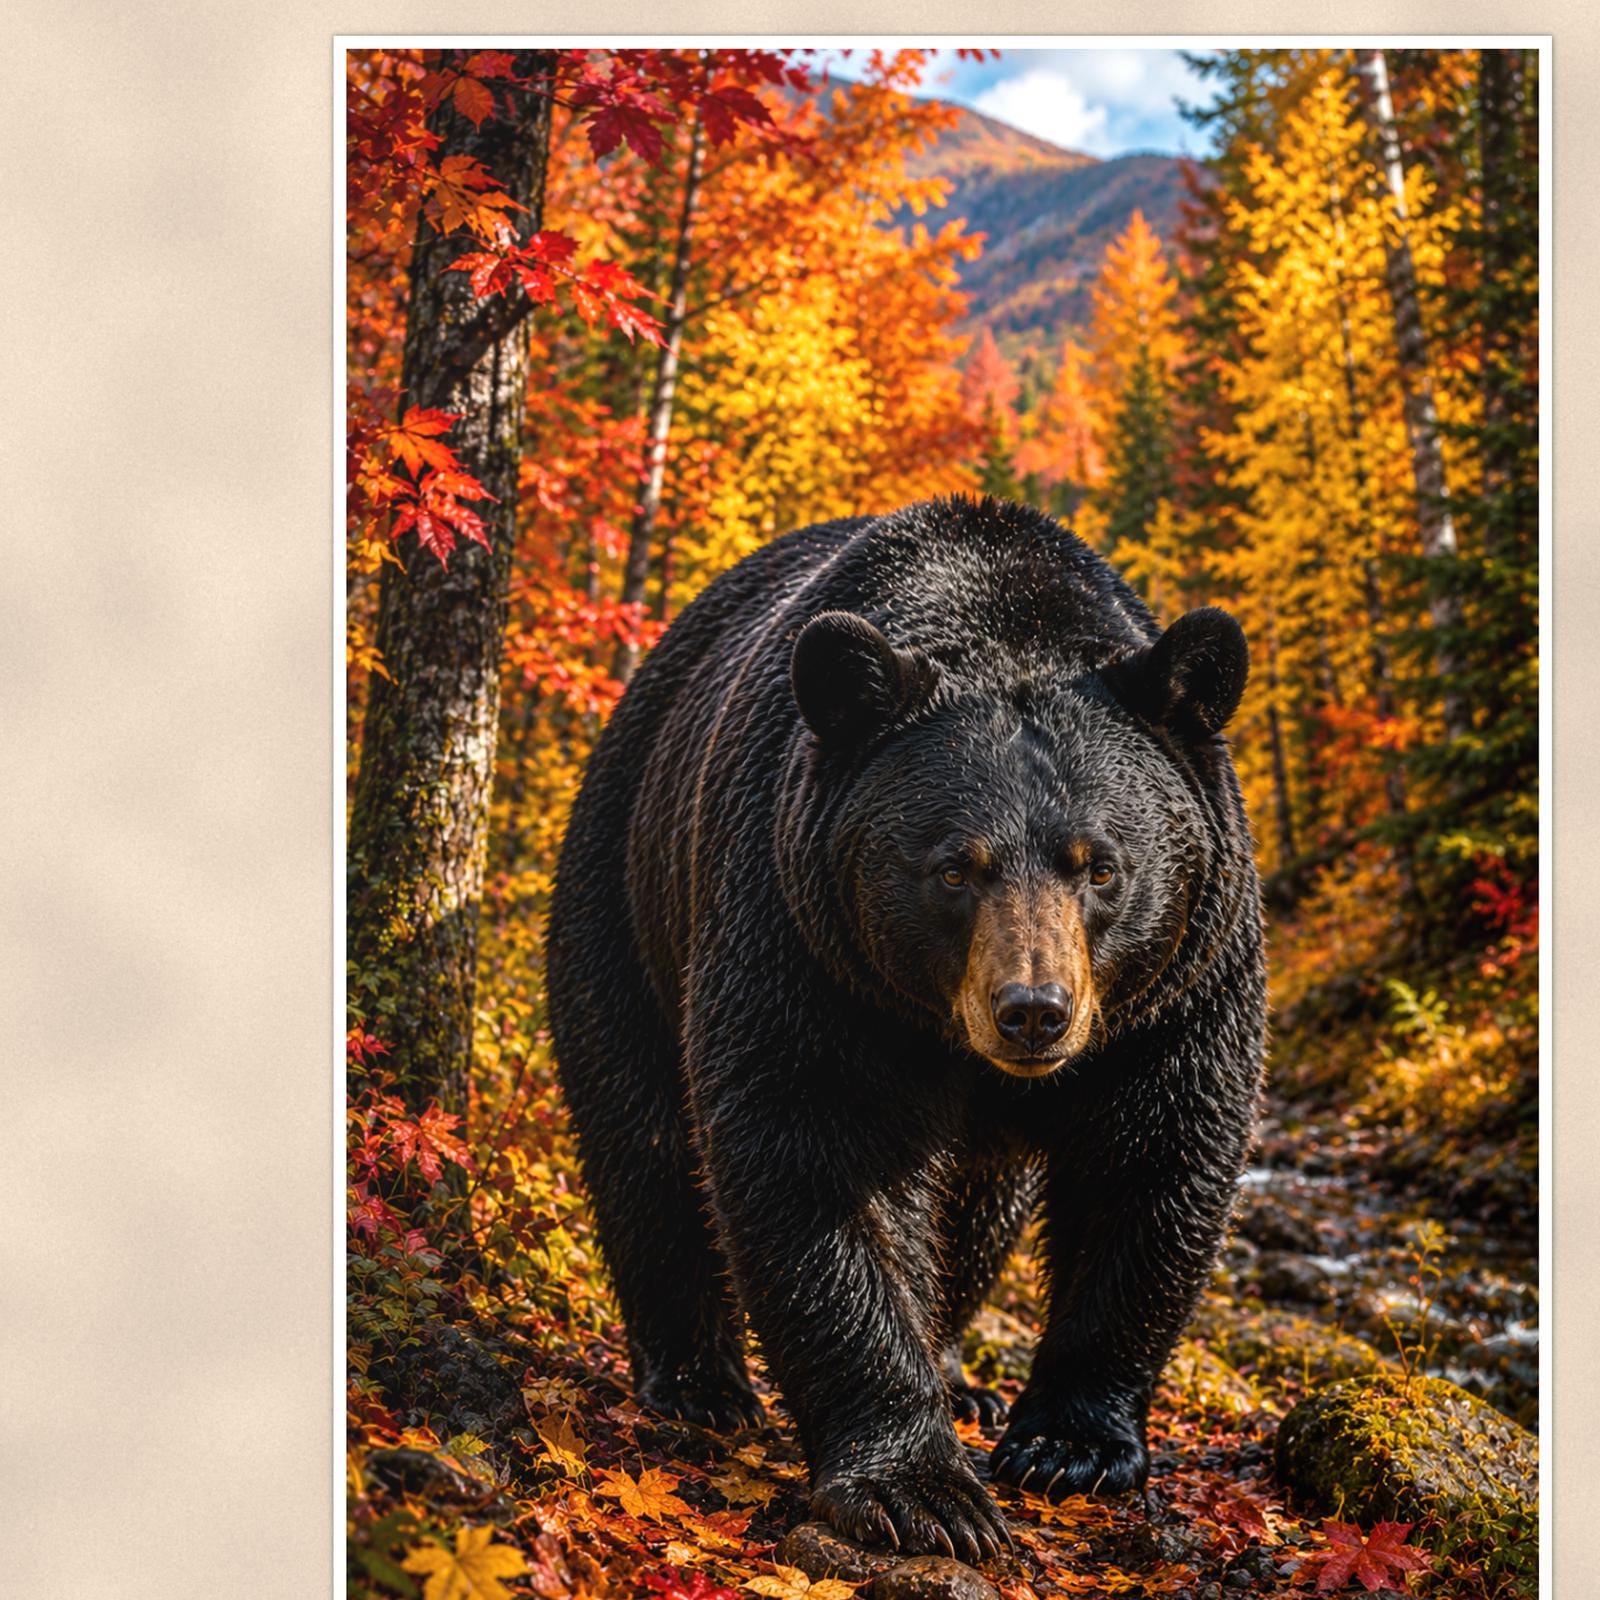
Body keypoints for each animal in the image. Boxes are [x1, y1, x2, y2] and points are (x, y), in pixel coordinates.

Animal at [546, 496, 1266, 1562]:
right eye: (954, 867)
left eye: (1100, 865)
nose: (1033, 1010)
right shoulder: (806, 936)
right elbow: (822, 1148)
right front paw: (920, 1487)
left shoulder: (1179, 986)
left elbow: (1155, 1155)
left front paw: (1069, 1445)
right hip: (628, 893)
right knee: (641, 1133)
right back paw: (699, 1383)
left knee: (977, 1209)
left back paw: (960, 1372)